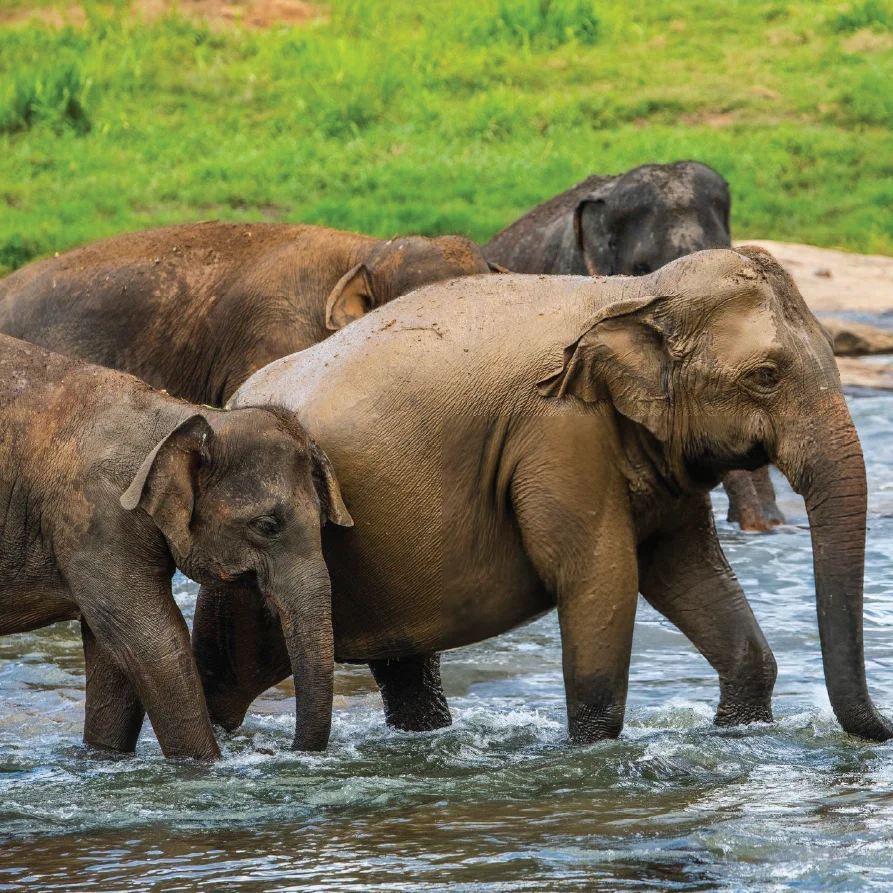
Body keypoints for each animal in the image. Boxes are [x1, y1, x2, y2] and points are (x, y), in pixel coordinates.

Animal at [0, 332, 352, 760]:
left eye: (322, 522)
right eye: (267, 526)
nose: (292, 751)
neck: (178, 420)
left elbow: (113, 659)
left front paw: (106, 757)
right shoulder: (96, 520)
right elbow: (152, 644)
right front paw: (206, 765)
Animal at [197, 247, 892, 748]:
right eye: (766, 376)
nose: (884, 730)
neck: (632, 292)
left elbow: (686, 567)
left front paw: (737, 736)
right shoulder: (559, 430)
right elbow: (598, 575)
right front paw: (592, 753)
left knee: (404, 672)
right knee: (224, 675)